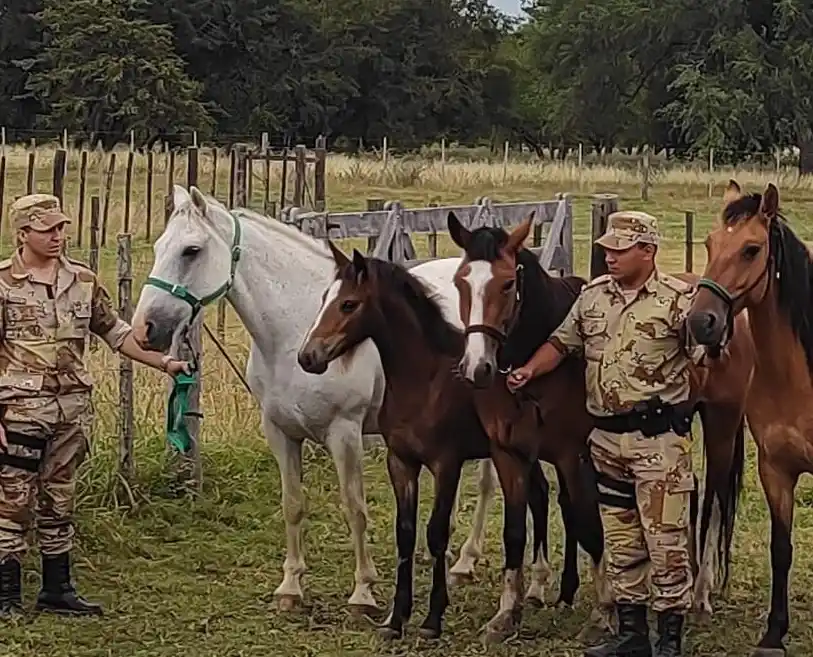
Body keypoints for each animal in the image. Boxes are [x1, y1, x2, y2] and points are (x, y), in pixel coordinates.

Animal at [129, 184, 530, 617]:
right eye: (159, 246)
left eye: (191, 250)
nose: (144, 329)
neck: (297, 333)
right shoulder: (279, 432)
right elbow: (292, 504)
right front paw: (290, 587)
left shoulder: (345, 433)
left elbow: (355, 508)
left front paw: (363, 592)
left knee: (487, 483)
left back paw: (465, 562)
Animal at [296, 243, 562, 639]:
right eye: (325, 297)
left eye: (349, 304)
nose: (307, 356)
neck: (424, 380)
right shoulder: (401, 462)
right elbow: (405, 533)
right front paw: (396, 619)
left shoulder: (445, 464)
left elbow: (437, 533)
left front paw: (432, 619)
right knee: (539, 495)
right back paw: (533, 589)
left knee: (539, 497)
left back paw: (534, 588)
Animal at [687, 179, 811, 657]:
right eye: (709, 243)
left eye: (751, 249)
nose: (701, 322)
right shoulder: (775, 470)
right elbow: (782, 548)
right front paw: (774, 633)